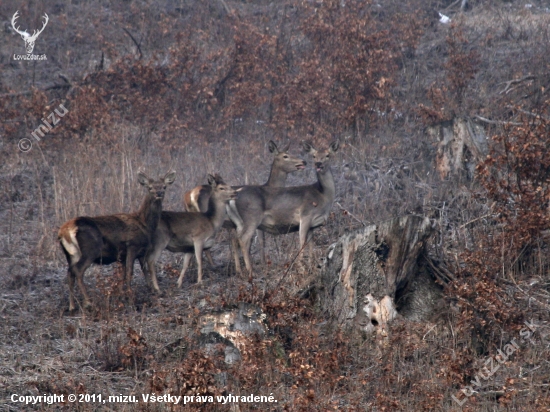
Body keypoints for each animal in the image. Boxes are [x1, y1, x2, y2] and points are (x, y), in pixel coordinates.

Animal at [58, 169, 176, 310]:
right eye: (150, 187)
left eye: (164, 187)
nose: (159, 193)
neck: (145, 224)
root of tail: (65, 231)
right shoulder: (132, 245)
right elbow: (130, 272)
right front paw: (130, 298)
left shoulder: (125, 254)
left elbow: (126, 274)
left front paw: (123, 296)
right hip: (90, 249)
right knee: (78, 270)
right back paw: (88, 302)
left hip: (71, 254)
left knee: (70, 273)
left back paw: (72, 306)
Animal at [184, 141, 306, 270]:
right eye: (285, 156)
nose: (303, 161)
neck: (270, 186)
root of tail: (190, 195)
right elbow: (260, 241)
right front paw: (262, 263)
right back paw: (213, 265)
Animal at [227, 139, 340, 276]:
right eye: (314, 156)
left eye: (328, 155)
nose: (318, 163)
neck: (322, 195)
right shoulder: (305, 215)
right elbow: (302, 242)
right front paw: (301, 268)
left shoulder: (313, 225)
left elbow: (311, 244)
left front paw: (311, 266)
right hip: (251, 217)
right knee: (243, 240)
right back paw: (250, 272)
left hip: (239, 223)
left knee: (235, 240)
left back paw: (240, 271)